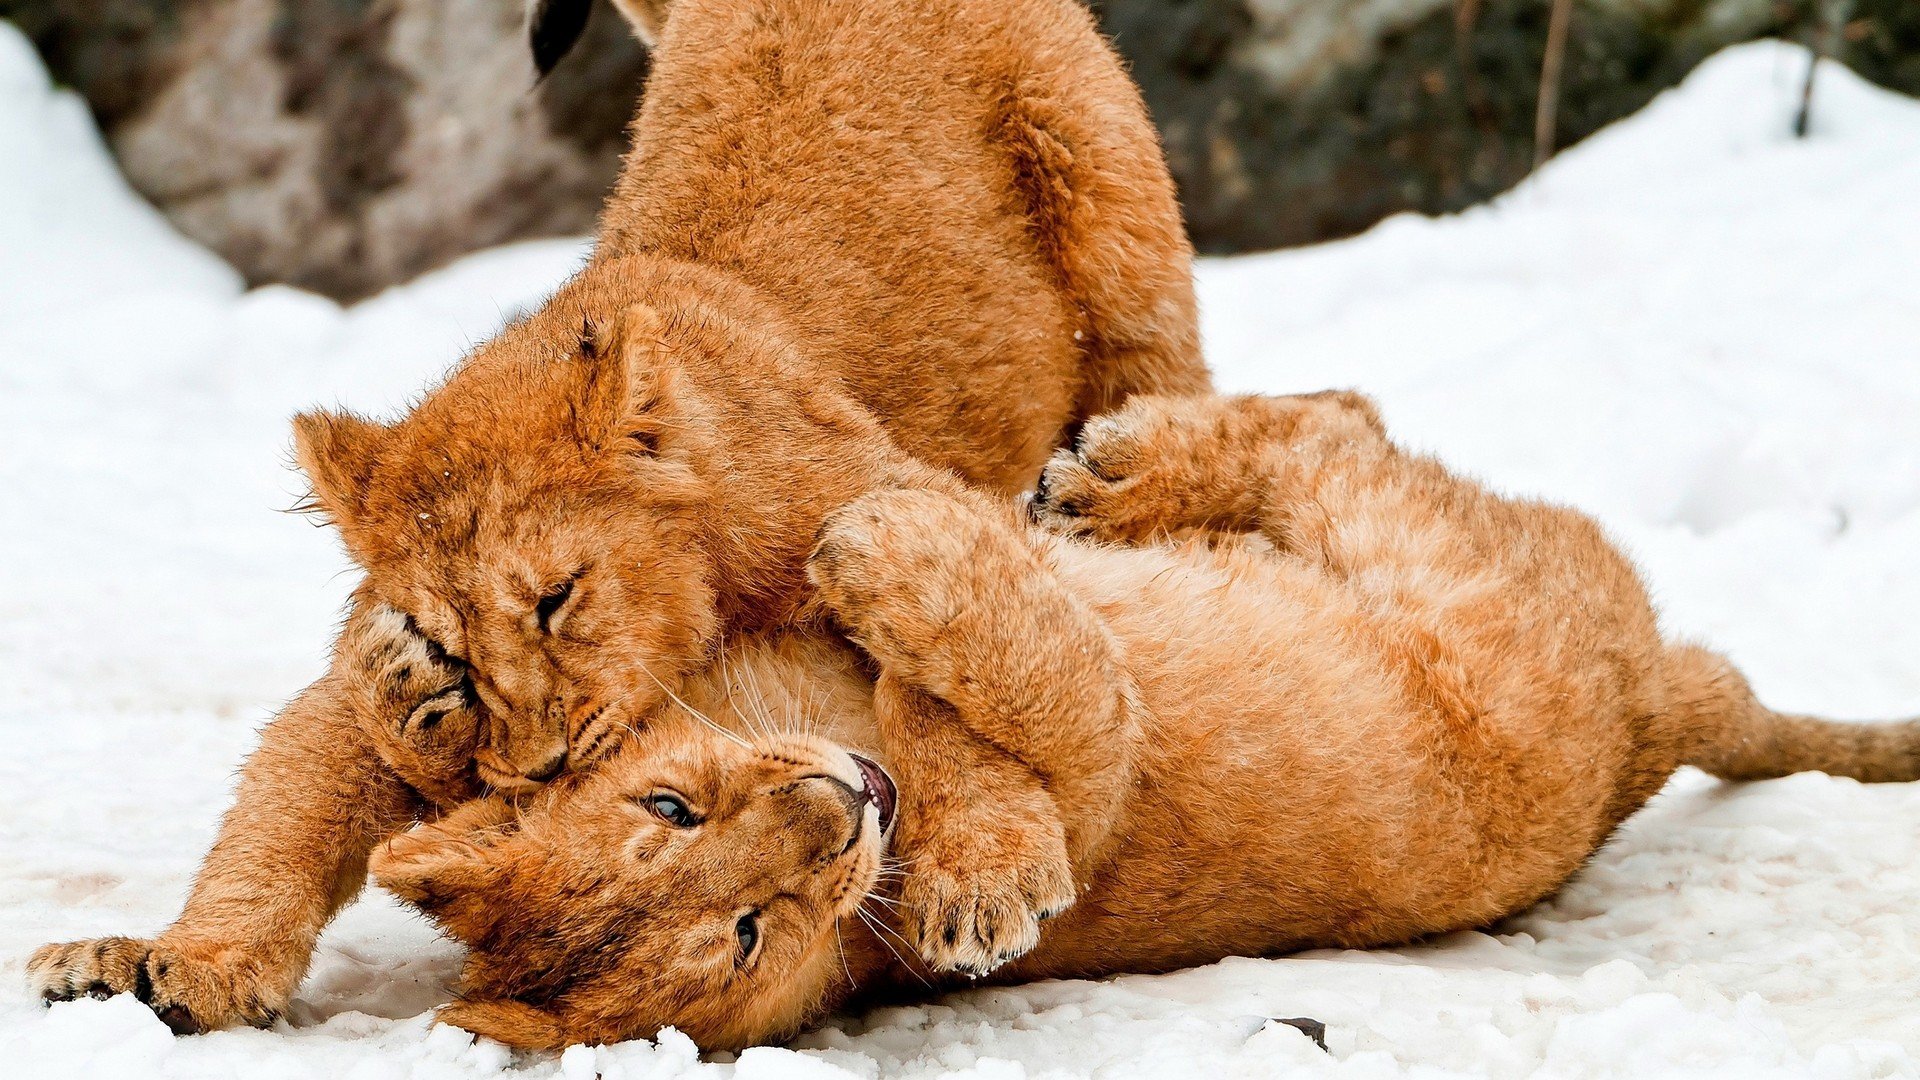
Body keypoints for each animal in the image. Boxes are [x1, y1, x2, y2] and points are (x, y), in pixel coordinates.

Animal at [29, 0, 1209, 1031]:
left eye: (557, 599)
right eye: (455, 649)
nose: (543, 763)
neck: (713, 583)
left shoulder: (904, 500)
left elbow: (930, 689)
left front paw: (981, 873)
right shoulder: (355, 695)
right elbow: (284, 814)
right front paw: (181, 966)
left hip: (1111, 219)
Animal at [364, 391, 1920, 1051]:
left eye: (669, 806)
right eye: (745, 934)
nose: (837, 807)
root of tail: (1654, 713)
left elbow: (945, 698)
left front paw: (879, 551)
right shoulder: (1108, 754)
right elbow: (1043, 692)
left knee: (1337, 409)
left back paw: (1104, 469)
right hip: (1428, 566)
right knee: (1334, 442)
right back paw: (1111, 477)